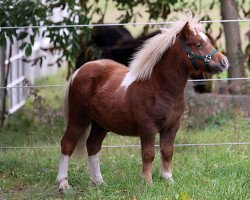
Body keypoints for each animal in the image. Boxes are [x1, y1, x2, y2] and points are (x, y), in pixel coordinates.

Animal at [56, 14, 229, 190]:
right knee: (67, 144)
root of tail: (79, 71)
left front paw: (168, 179)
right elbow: (148, 154)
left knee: (92, 146)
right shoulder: (148, 128)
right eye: (198, 44)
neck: (159, 88)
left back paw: (99, 182)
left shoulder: (172, 127)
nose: (224, 62)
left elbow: (167, 151)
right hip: (78, 118)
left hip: (100, 124)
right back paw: (63, 184)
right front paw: (147, 182)